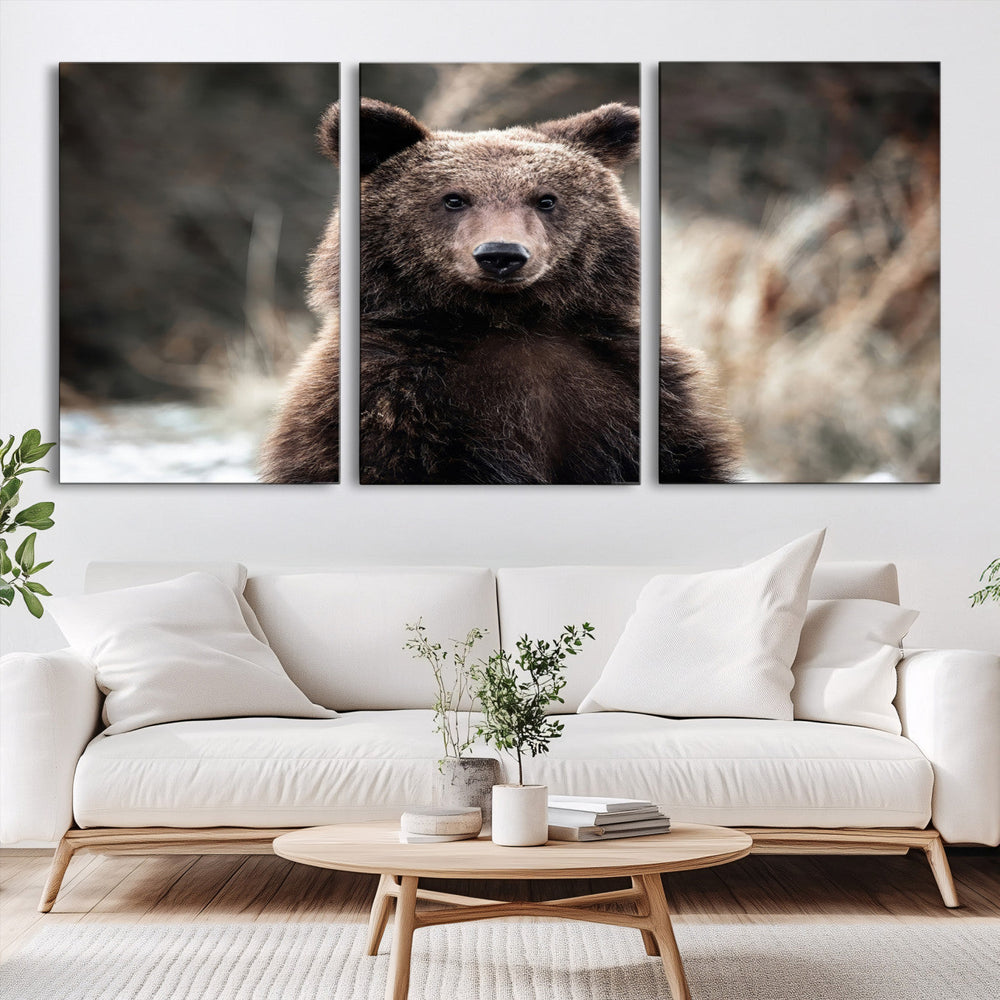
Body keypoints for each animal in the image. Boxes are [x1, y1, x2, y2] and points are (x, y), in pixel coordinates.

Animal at [259, 98, 740, 484]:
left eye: (546, 199)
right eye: (454, 198)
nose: (501, 254)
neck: (508, 321)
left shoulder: (633, 390)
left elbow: (684, 460)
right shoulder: (388, 400)